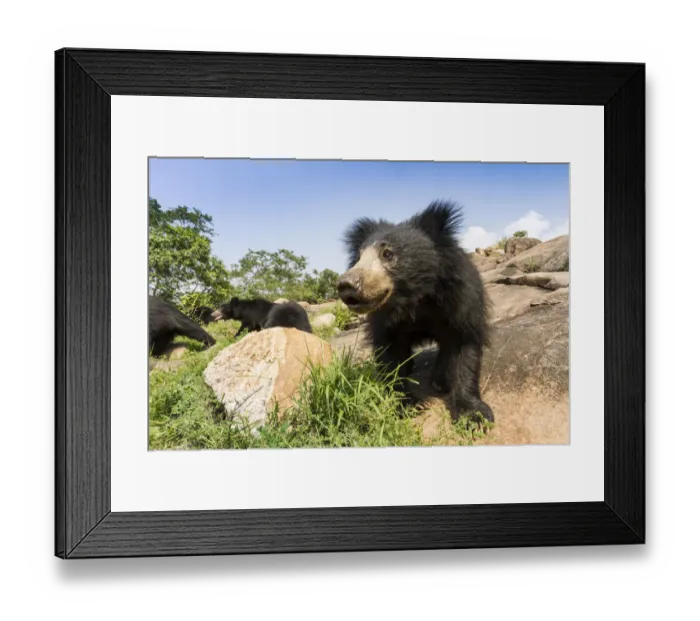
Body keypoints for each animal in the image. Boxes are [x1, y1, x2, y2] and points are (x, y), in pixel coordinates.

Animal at [337, 200, 493, 423]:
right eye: (358, 257)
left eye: (387, 254)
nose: (346, 285)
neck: (415, 298)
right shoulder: (384, 318)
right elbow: (390, 354)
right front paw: (406, 404)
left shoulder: (461, 299)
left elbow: (465, 346)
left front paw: (474, 415)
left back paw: (440, 380)